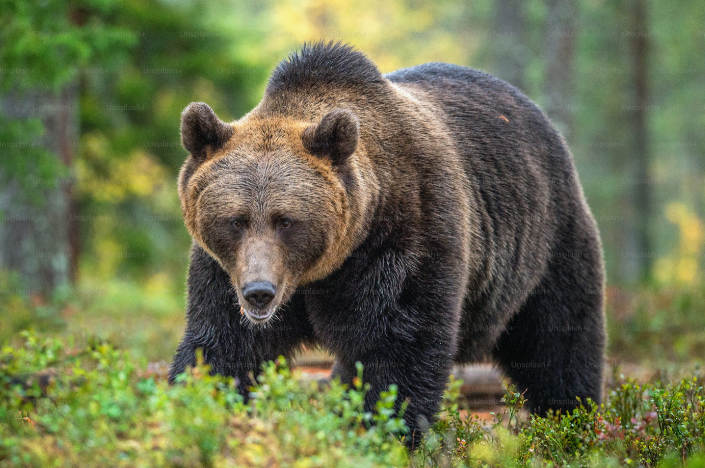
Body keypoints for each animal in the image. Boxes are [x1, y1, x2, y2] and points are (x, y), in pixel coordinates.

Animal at [170, 41, 604, 446]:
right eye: (235, 220)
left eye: (286, 220)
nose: (259, 292)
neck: (319, 271)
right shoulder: (223, 270)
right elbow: (222, 347)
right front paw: (195, 408)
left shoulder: (406, 236)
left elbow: (400, 347)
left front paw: (384, 432)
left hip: (547, 242)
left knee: (559, 342)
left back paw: (572, 421)